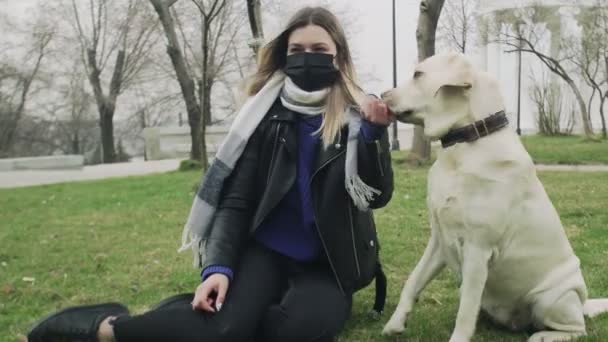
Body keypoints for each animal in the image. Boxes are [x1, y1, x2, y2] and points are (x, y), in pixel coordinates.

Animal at [380, 51, 608, 342]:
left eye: (418, 74)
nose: (382, 94)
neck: (463, 145)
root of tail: (582, 304)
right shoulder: (438, 241)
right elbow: (414, 280)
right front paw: (394, 324)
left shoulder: (478, 249)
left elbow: (465, 312)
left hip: (553, 297)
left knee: (577, 329)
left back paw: (543, 335)